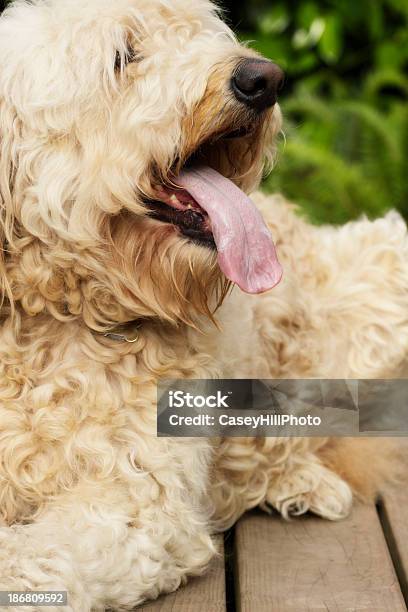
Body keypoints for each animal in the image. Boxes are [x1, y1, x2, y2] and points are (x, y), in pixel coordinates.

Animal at [0, 0, 404, 608]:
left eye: (203, 30)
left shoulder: (136, 500)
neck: (56, 316)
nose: (264, 78)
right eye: (123, 56)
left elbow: (26, 559)